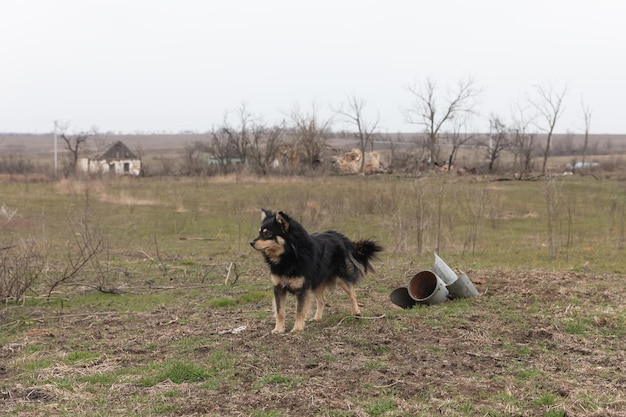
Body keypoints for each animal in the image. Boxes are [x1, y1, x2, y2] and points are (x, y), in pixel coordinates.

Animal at [249, 208, 380, 332]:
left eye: (267, 234)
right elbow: (280, 311)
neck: (289, 255)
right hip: (317, 282)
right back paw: (317, 318)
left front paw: (297, 329)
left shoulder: (302, 288)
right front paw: (278, 329)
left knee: (352, 293)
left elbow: (299, 311)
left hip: (341, 278)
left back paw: (356, 312)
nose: (251, 243)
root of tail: (339, 236)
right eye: (260, 233)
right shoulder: (278, 287)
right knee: (322, 300)